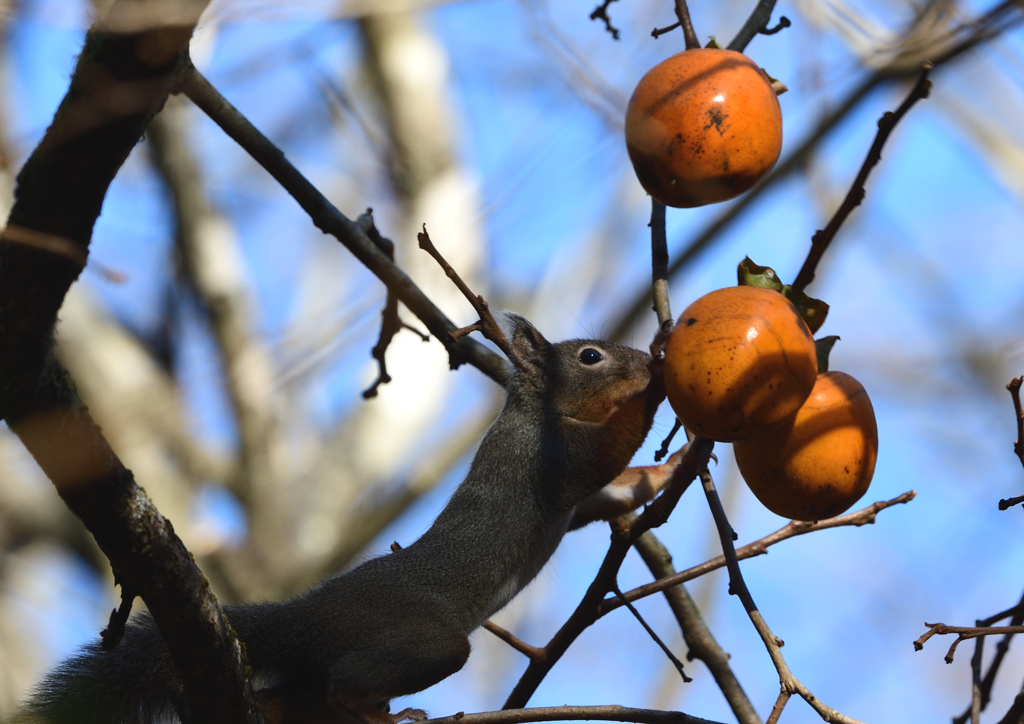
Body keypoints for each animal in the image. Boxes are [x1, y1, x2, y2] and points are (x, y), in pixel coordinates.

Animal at [16, 315, 684, 724]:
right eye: (591, 357)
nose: (637, 362)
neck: (536, 410)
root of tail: (310, 615)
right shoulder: (549, 460)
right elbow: (609, 451)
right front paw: (657, 380)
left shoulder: (573, 497)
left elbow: (609, 495)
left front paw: (671, 467)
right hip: (421, 640)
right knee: (347, 680)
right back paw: (376, 710)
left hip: (321, 676)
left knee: (302, 697)